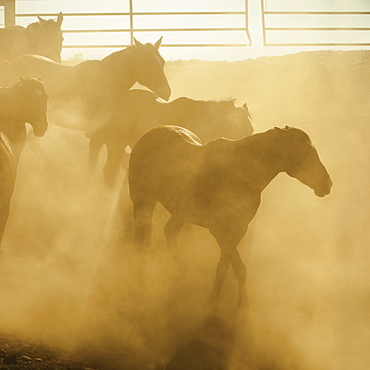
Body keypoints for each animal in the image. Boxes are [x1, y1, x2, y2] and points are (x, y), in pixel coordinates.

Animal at [128, 125, 332, 308]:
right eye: (304, 152)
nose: (327, 184)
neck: (242, 172)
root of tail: (147, 134)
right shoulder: (219, 230)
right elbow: (233, 266)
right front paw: (221, 302)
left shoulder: (239, 229)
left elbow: (230, 267)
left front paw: (235, 303)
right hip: (143, 203)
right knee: (141, 243)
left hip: (181, 212)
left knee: (169, 231)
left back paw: (181, 274)